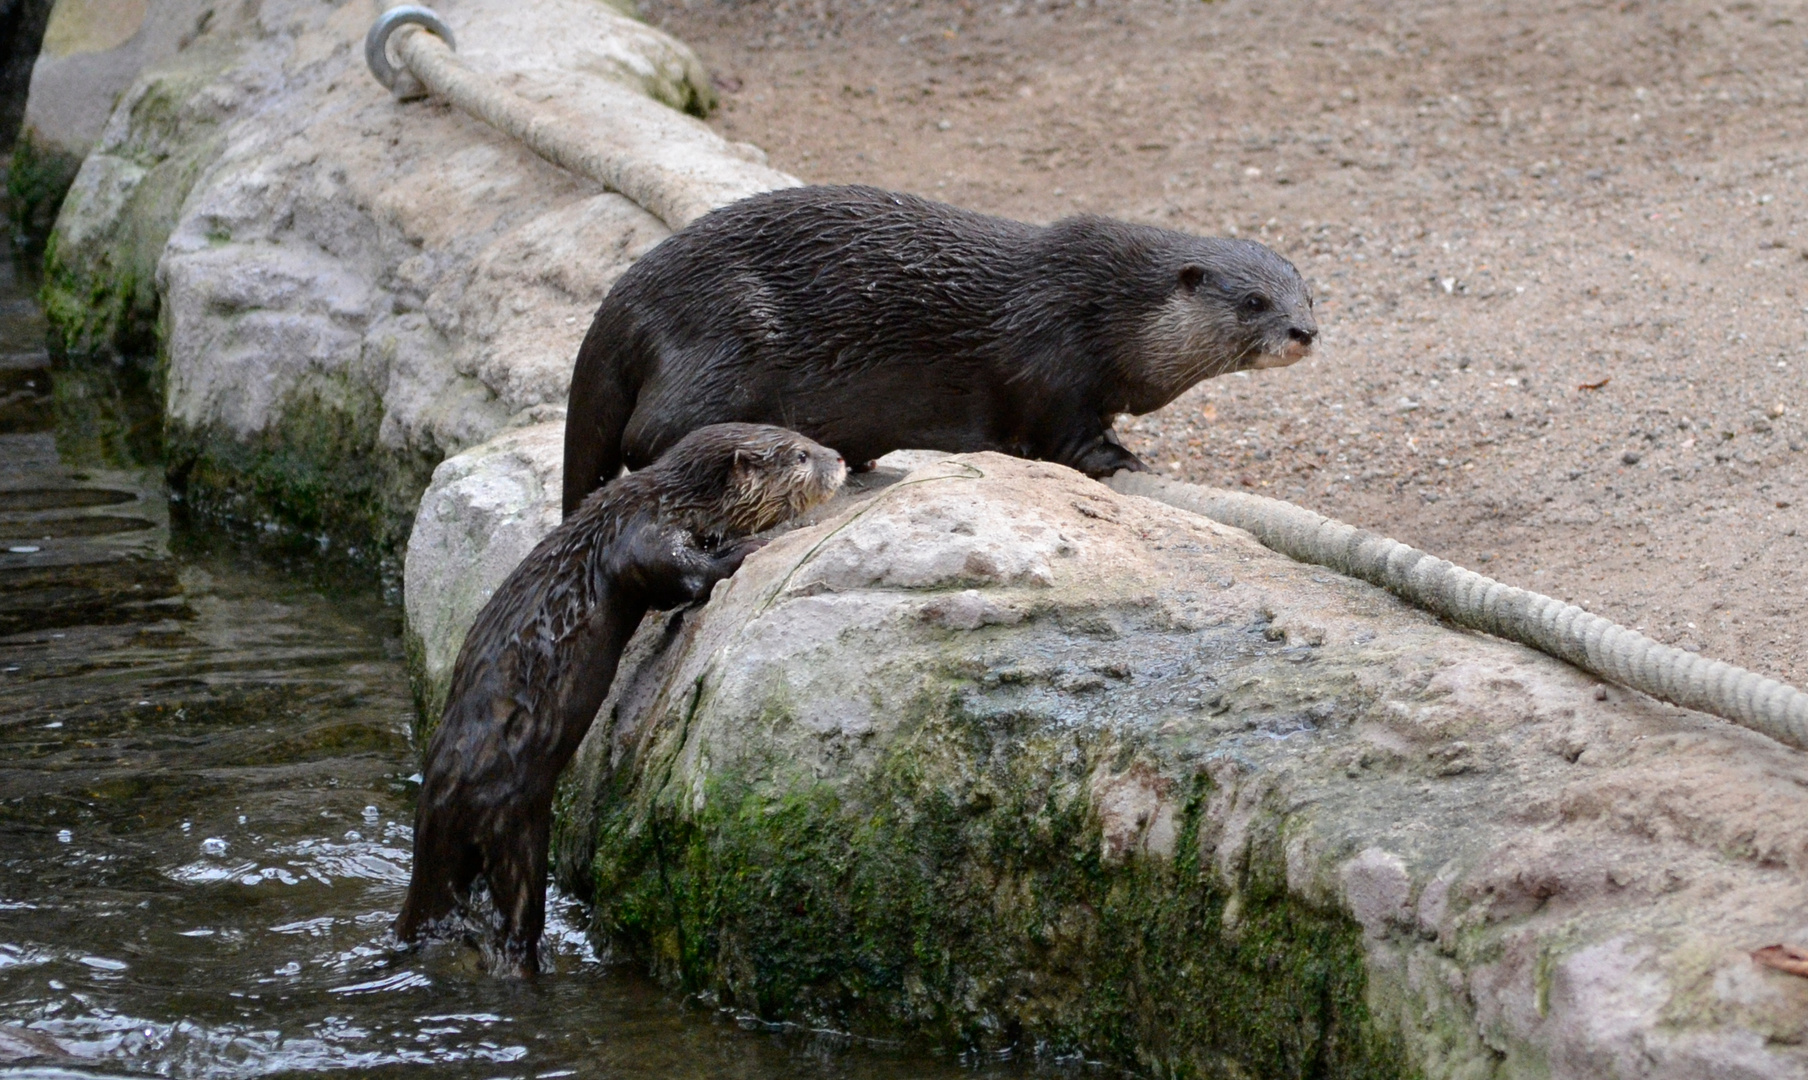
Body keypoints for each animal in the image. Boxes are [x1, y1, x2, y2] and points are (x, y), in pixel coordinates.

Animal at [397, 423, 846, 976]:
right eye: (801, 455)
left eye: (805, 436)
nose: (840, 459)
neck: (670, 500)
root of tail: (435, 803)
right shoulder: (642, 535)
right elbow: (686, 576)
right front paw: (756, 542)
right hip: (512, 831)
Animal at [564, 184, 1316, 513]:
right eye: (1254, 301)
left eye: (1307, 292)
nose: (1304, 332)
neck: (1108, 311)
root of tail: (624, 294)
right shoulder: (1050, 362)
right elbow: (1065, 434)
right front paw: (1119, 459)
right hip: (726, 334)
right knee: (645, 437)